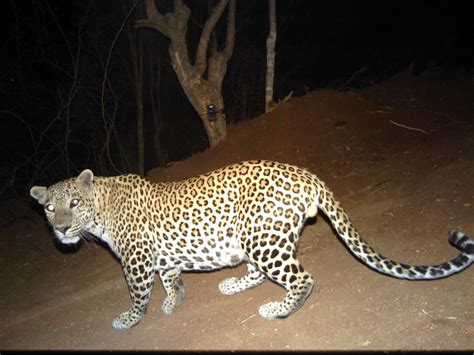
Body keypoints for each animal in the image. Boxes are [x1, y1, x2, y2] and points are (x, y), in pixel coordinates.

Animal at [31, 160, 472, 330]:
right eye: (50, 208)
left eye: (74, 203)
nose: (62, 229)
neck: (102, 209)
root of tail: (306, 174)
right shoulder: (164, 256)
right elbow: (172, 279)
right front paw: (174, 301)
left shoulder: (136, 261)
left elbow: (139, 294)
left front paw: (129, 319)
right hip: (258, 237)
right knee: (260, 274)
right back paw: (233, 285)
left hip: (262, 238)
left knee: (303, 278)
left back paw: (278, 309)